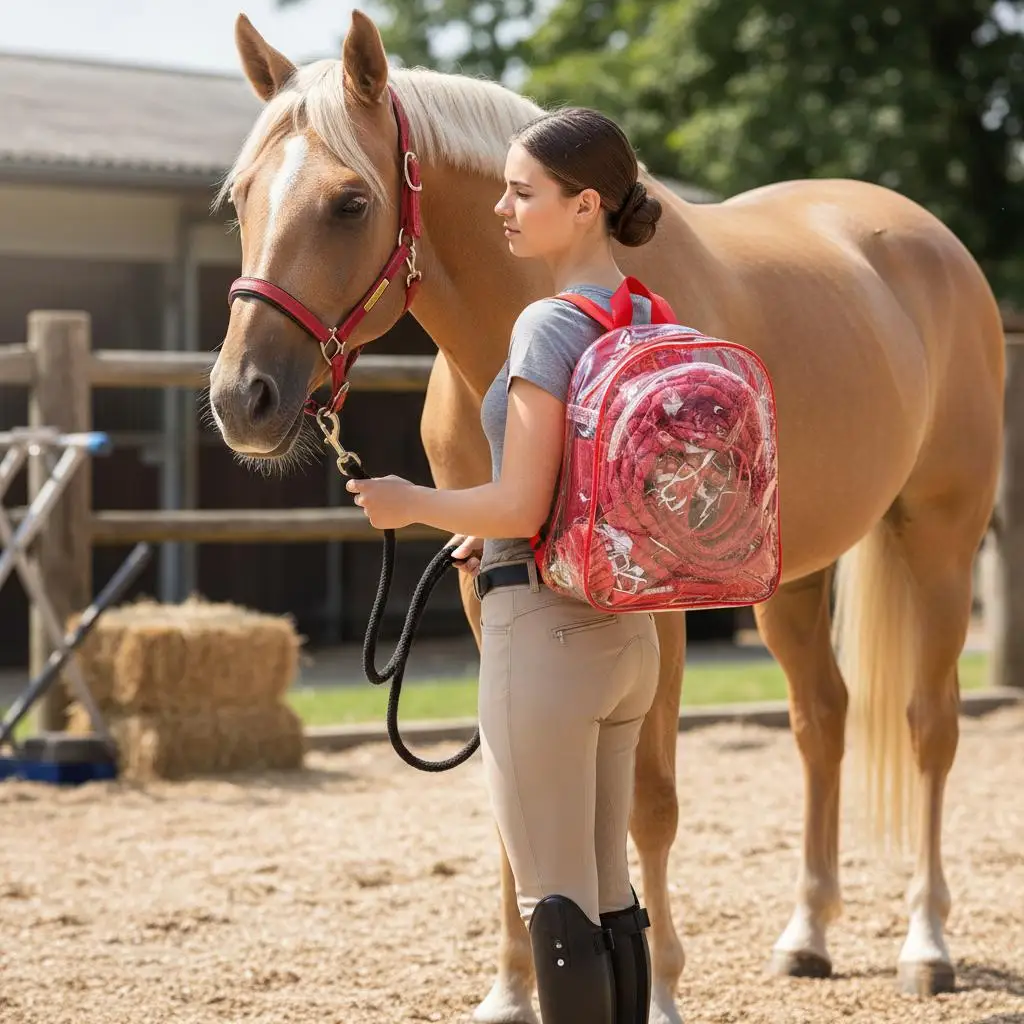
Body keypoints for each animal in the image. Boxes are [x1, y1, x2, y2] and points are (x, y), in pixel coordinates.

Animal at [207, 10, 1004, 1022]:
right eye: (240, 201)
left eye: (350, 203)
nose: (244, 399)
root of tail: (929, 242)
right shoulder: (479, 589)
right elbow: (512, 805)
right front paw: (511, 990)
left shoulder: (661, 613)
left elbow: (647, 800)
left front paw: (661, 991)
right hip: (795, 577)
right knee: (822, 720)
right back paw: (808, 935)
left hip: (941, 535)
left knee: (928, 725)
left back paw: (926, 944)